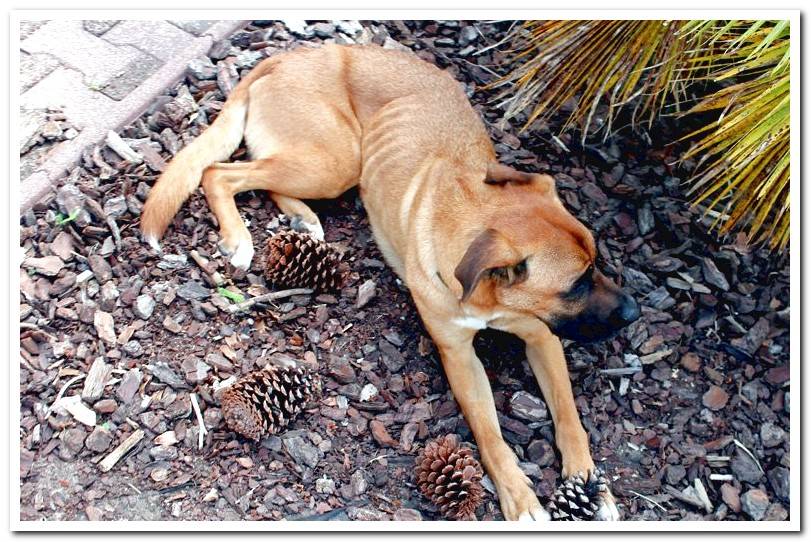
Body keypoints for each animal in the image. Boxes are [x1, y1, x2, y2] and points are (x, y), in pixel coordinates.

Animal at [141, 43, 640, 524]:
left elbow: (570, 418)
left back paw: (302, 219)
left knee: (256, 178)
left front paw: (591, 486)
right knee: (220, 173)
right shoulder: (460, 357)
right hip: (336, 159)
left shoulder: (541, 335)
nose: (634, 312)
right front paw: (520, 497)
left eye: (595, 264)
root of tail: (286, 57)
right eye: (576, 284)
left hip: (329, 166)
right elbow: (490, 435)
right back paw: (240, 237)